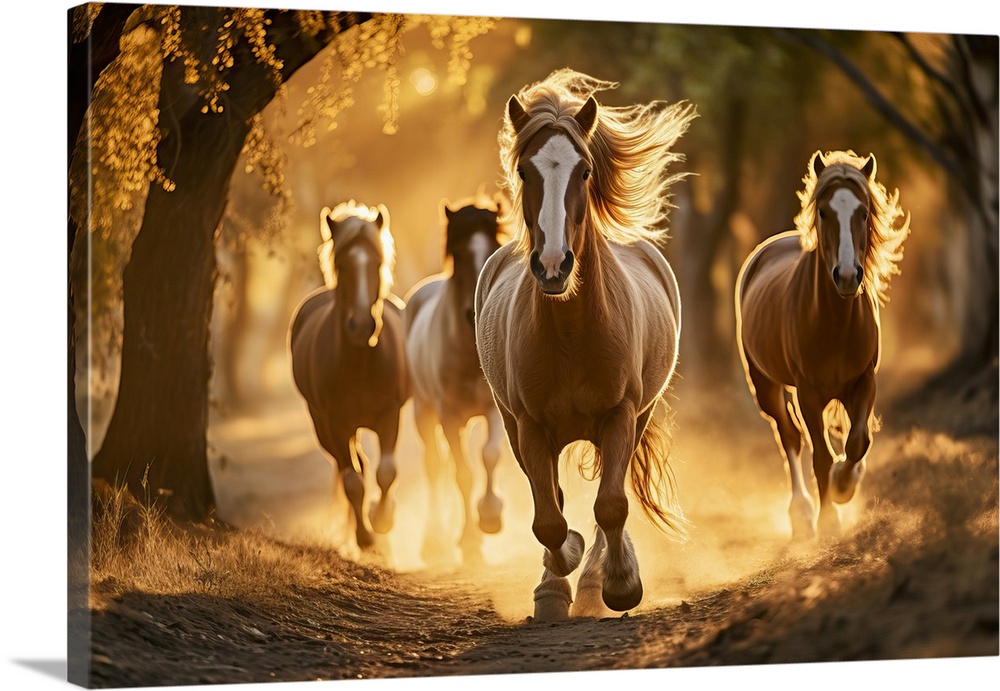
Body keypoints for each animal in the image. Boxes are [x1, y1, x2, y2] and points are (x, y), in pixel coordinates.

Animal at [288, 200, 408, 552]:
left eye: (377, 262)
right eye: (341, 265)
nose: (362, 325)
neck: (359, 364)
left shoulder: (389, 416)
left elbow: (386, 472)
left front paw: (382, 520)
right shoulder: (336, 423)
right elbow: (353, 479)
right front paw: (365, 535)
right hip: (323, 426)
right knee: (351, 469)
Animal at [402, 192, 508, 564]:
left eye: (493, 249)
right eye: (459, 255)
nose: (475, 312)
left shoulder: (494, 411)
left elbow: (489, 455)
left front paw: (490, 516)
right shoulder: (448, 416)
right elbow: (462, 473)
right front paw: (469, 540)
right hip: (424, 413)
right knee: (436, 466)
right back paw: (434, 541)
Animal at [472, 70, 692, 620]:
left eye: (585, 171)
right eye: (524, 171)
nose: (553, 265)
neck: (572, 332)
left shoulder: (620, 414)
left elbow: (610, 505)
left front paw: (618, 585)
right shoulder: (528, 426)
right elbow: (549, 517)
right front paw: (555, 581)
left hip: (639, 416)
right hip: (515, 425)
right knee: (550, 494)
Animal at [732, 150, 912, 540]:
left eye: (863, 212)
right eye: (824, 213)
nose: (846, 276)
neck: (835, 322)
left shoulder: (863, 382)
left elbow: (858, 441)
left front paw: (846, 482)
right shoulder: (808, 393)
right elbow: (820, 456)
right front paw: (830, 516)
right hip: (766, 386)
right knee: (789, 438)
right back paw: (801, 513)